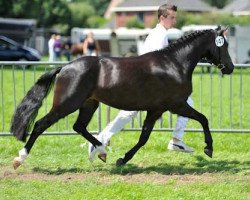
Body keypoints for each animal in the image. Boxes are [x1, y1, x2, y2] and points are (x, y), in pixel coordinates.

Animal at [10, 26, 234, 169]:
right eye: (223, 45)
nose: (230, 68)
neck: (174, 64)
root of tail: (65, 67)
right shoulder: (176, 104)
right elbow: (203, 118)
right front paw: (208, 148)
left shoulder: (156, 109)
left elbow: (143, 137)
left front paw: (122, 159)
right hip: (66, 104)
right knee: (40, 124)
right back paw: (20, 158)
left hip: (89, 104)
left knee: (79, 127)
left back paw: (101, 151)